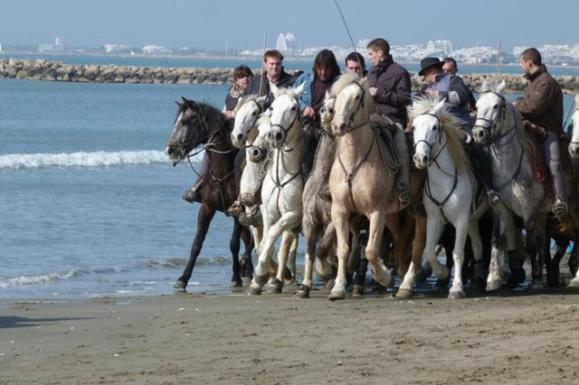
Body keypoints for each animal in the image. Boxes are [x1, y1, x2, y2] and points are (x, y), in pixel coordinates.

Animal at [164, 97, 253, 290]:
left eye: (188, 120)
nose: (170, 150)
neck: (223, 174)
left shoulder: (237, 211)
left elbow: (234, 244)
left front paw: (235, 277)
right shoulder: (207, 208)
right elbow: (196, 244)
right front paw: (183, 278)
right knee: (250, 238)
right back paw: (250, 272)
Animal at [247, 83, 306, 294]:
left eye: (294, 108)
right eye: (272, 107)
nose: (275, 135)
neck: (282, 176)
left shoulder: (294, 214)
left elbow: (273, 234)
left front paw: (260, 273)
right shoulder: (268, 213)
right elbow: (266, 242)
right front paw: (260, 280)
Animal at [406, 97, 488, 298]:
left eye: (435, 127)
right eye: (414, 127)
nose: (421, 158)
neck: (444, 181)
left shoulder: (461, 220)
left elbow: (458, 253)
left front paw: (456, 288)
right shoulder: (434, 219)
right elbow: (428, 250)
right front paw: (442, 272)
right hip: (473, 219)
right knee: (478, 245)